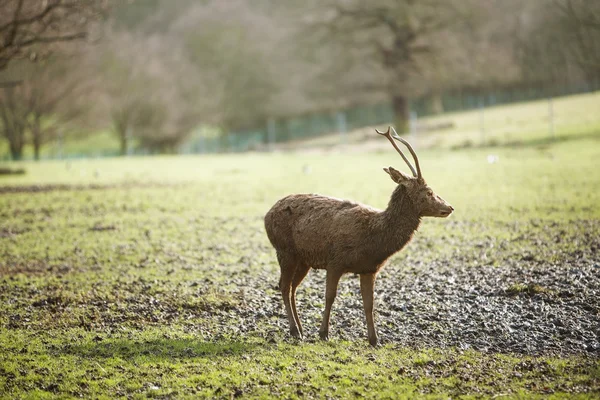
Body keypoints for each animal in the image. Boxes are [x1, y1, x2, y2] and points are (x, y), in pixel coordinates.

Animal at [264, 126, 452, 346]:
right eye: (429, 191)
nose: (449, 207)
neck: (373, 239)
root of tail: (267, 214)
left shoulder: (369, 269)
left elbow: (369, 303)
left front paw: (374, 340)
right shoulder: (335, 261)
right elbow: (330, 296)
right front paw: (324, 333)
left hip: (303, 259)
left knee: (293, 287)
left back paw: (300, 328)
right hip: (285, 251)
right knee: (284, 286)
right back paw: (295, 330)